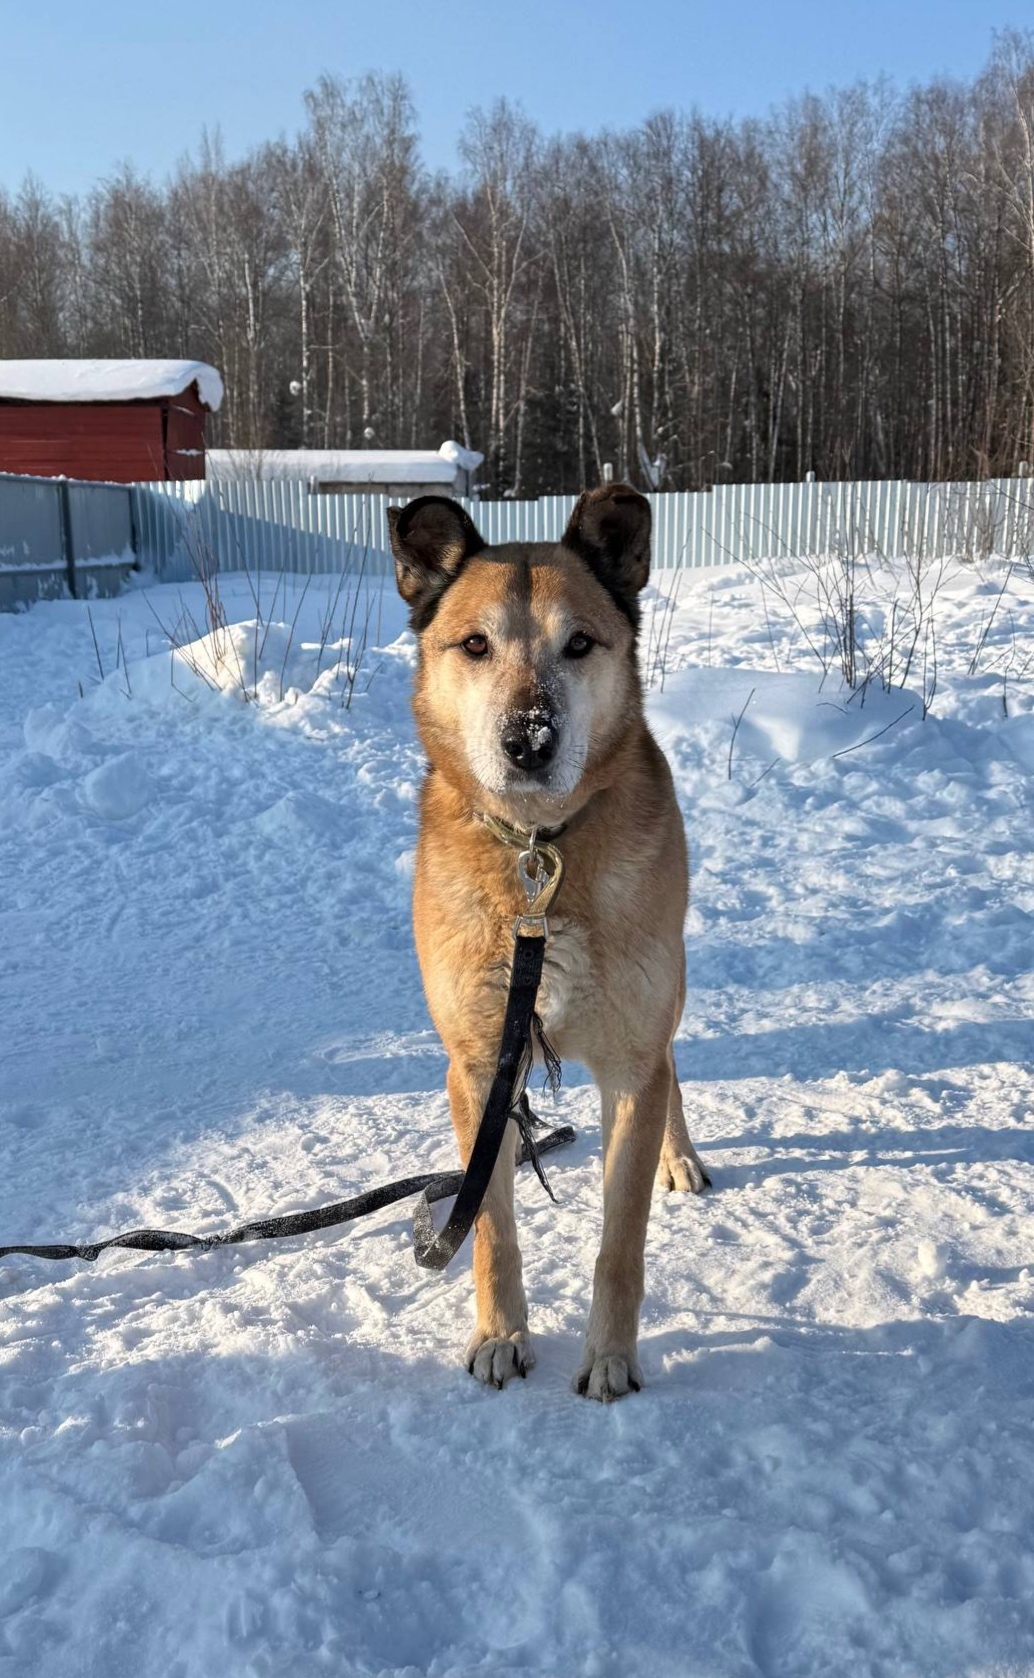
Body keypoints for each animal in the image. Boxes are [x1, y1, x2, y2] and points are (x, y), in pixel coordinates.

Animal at [387, 484, 709, 1402]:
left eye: (580, 644)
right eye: (474, 644)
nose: (528, 741)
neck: (540, 853)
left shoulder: (632, 1067)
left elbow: (620, 1242)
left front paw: (609, 1357)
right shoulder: (478, 1069)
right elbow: (490, 1229)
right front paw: (501, 1336)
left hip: (663, 996)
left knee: (675, 1066)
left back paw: (681, 1156)